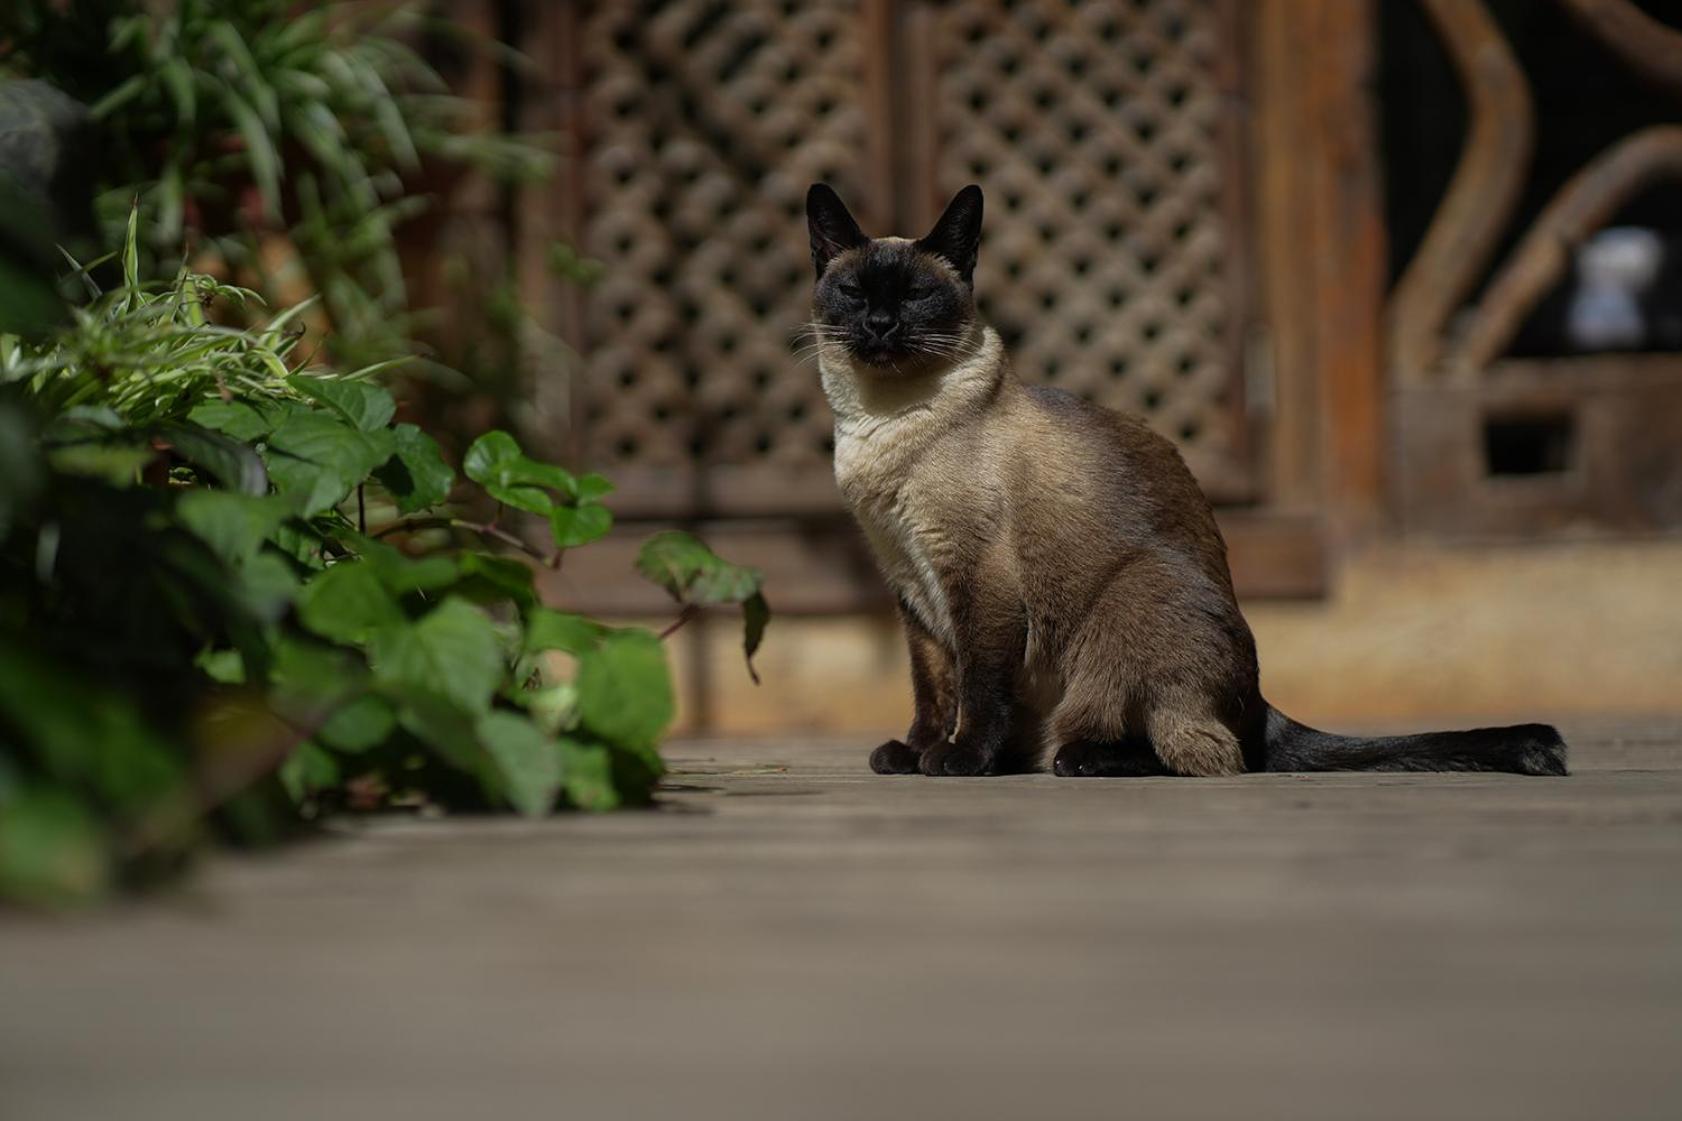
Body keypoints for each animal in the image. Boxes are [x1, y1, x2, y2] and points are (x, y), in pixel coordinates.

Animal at [800, 183, 1560, 777]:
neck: (879, 424)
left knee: (1201, 751)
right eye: (854, 293)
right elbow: (932, 686)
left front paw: (956, 759)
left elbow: (977, 686)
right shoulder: (908, 581)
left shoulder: (975, 578)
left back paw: (1082, 758)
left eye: (917, 296)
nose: (880, 324)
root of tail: (1260, 702)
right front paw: (913, 752)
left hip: (1128, 599)